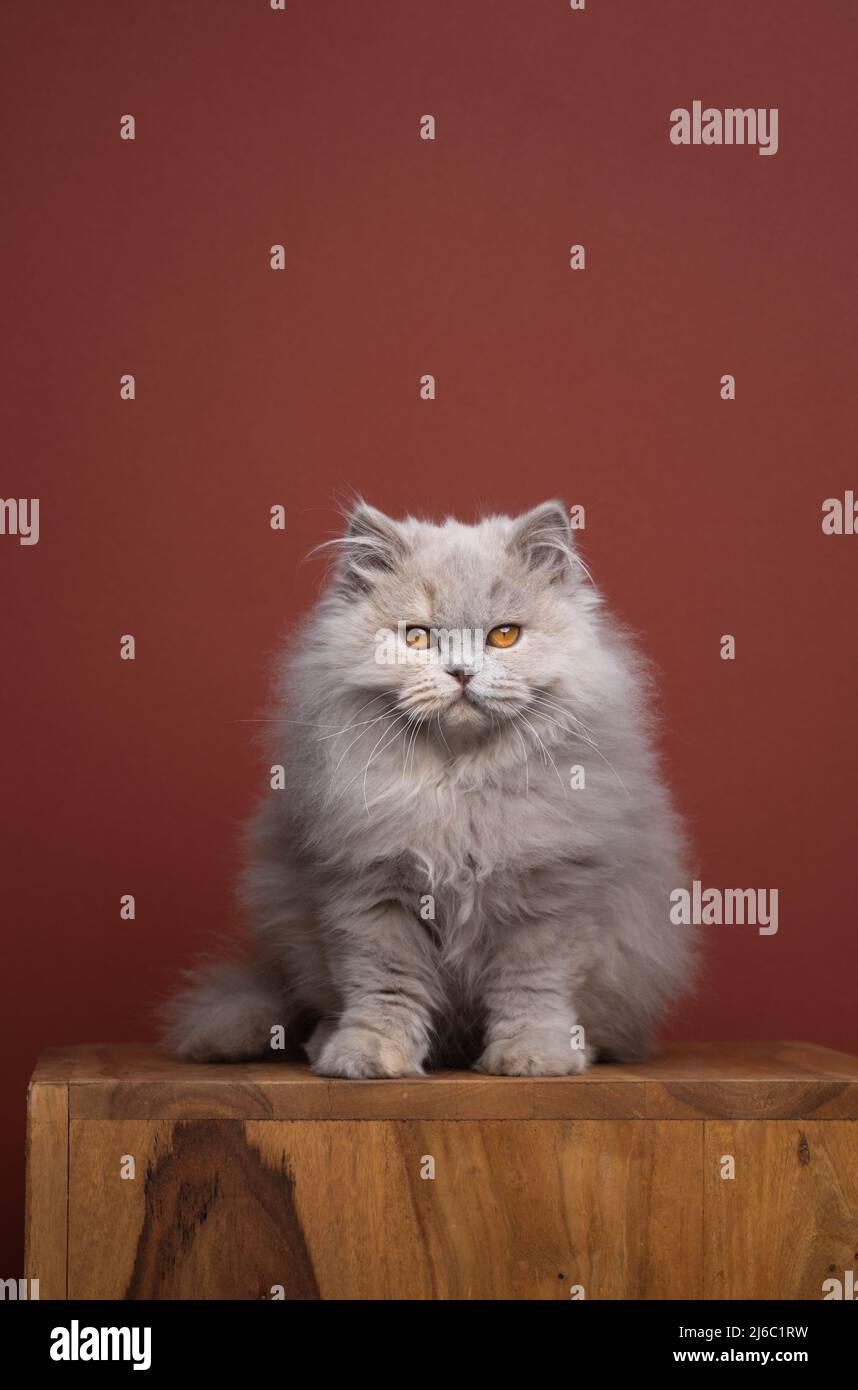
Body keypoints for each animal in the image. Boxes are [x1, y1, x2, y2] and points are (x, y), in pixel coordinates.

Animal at [162, 500, 695, 1073]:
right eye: (418, 637)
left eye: (503, 636)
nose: (460, 672)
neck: (459, 785)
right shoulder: (372, 890)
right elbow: (384, 987)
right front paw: (368, 1055)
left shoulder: (552, 898)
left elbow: (532, 990)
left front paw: (534, 1056)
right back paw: (324, 1041)